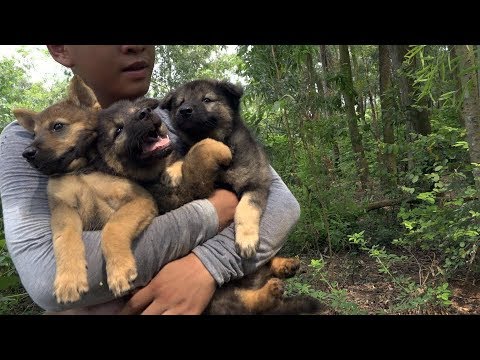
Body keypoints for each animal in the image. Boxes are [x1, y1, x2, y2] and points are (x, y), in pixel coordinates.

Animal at [12, 76, 158, 304]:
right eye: (34, 134)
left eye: (58, 126)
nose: (27, 153)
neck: (80, 171)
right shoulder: (63, 210)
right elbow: (65, 240)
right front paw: (69, 279)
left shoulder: (139, 199)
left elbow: (113, 228)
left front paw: (119, 269)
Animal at [159, 79, 270, 258]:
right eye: (180, 102)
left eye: (207, 100)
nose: (184, 111)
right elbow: (187, 153)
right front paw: (173, 171)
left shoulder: (256, 184)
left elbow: (246, 208)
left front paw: (246, 239)